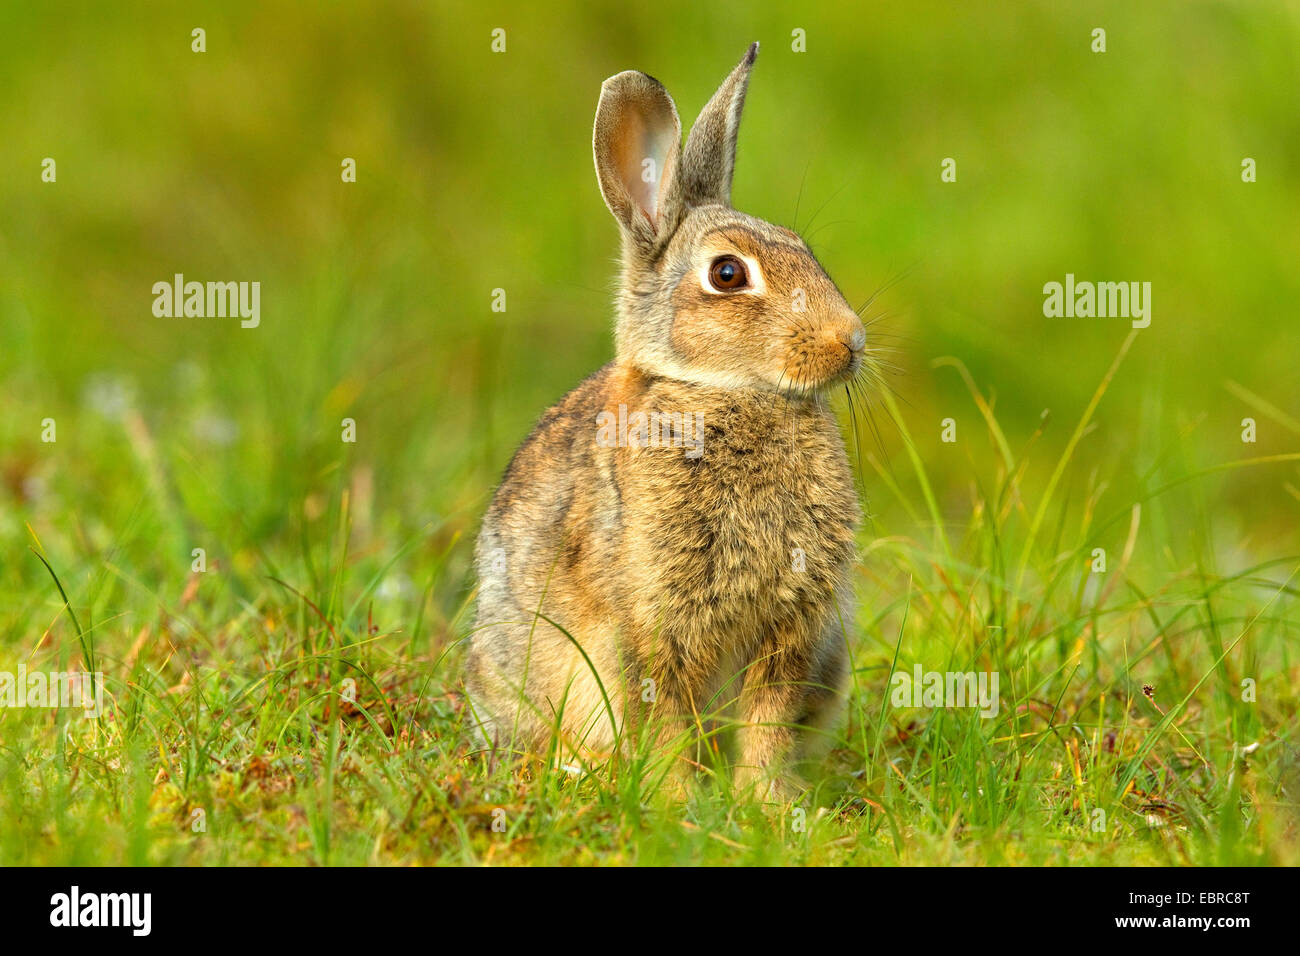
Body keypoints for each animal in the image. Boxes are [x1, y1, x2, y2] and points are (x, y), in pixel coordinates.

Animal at [465, 42, 866, 801]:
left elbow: (766, 725)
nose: (850, 341)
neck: (722, 392)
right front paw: (679, 805)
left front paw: (767, 806)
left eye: (803, 248)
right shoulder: (652, 627)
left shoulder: (793, 631)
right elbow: (668, 723)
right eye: (729, 275)